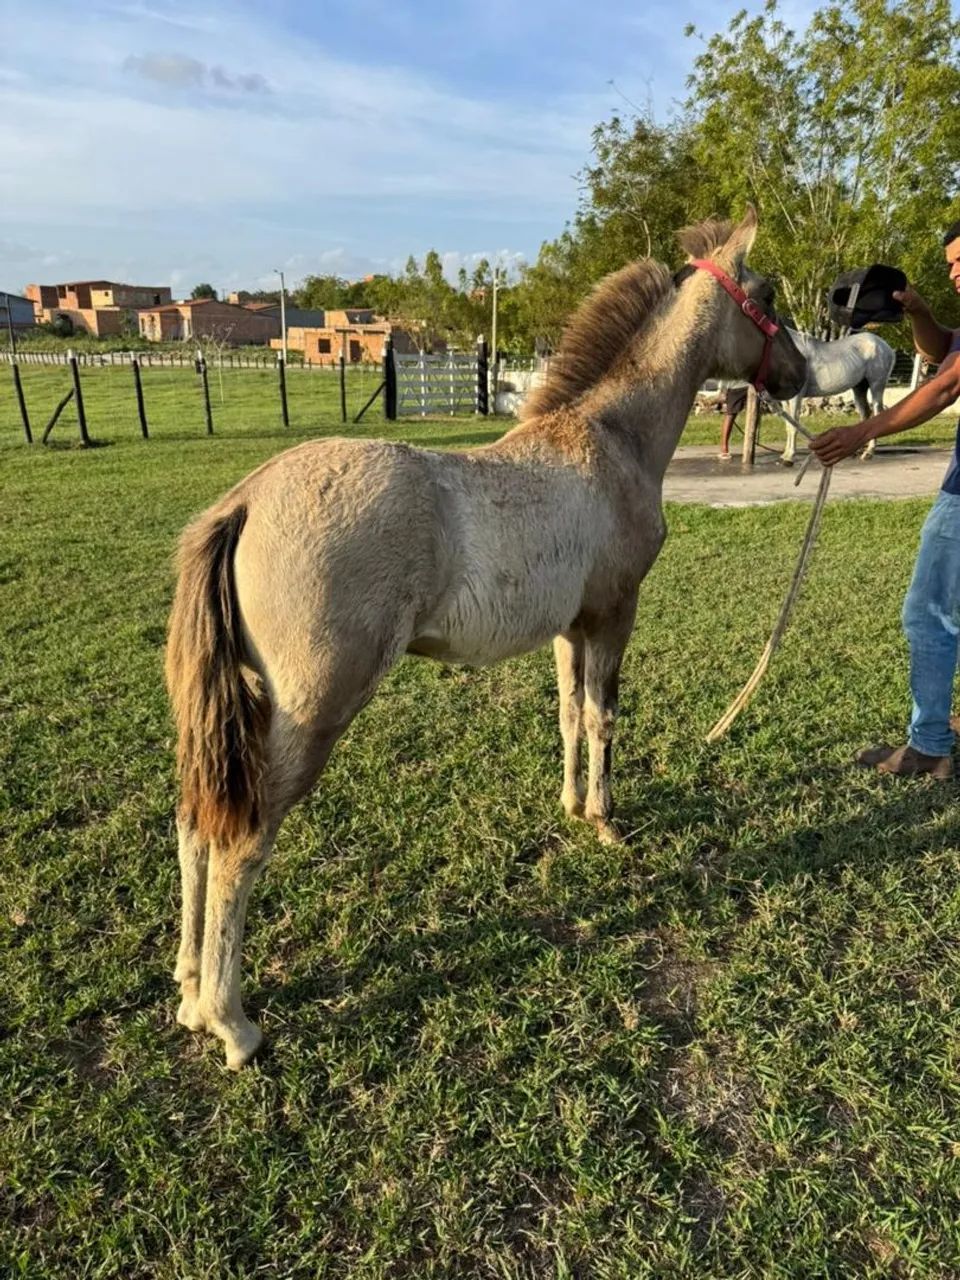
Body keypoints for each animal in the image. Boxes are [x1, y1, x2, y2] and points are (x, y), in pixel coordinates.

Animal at [165, 207, 806, 1068]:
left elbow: (568, 714)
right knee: (240, 842)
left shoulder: (572, 626)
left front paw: (571, 807)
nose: (800, 374)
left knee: (196, 820)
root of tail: (248, 500)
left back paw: (187, 983)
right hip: (311, 710)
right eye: (765, 296)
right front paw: (606, 820)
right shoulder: (616, 613)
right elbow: (604, 716)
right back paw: (229, 1021)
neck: (608, 439)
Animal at [779, 328, 896, 464]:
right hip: (859, 388)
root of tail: (885, 345)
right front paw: (785, 455)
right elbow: (788, 426)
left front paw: (789, 458)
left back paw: (869, 453)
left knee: (876, 413)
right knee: (865, 413)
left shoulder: (796, 397)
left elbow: (793, 426)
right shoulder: (786, 400)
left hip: (876, 385)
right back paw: (858, 450)